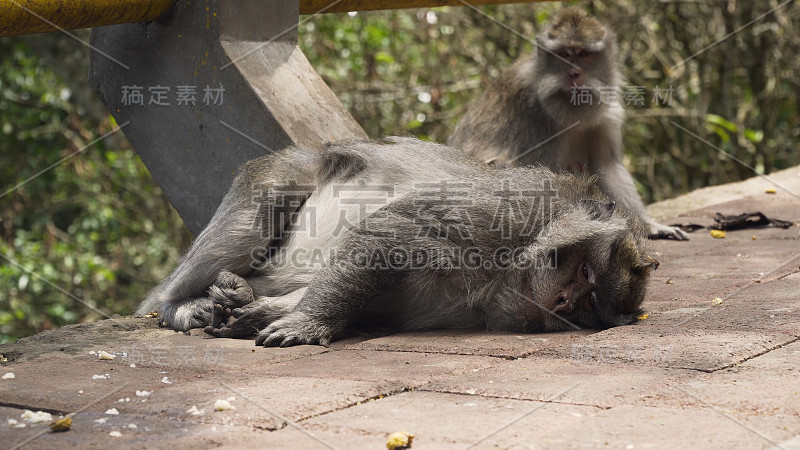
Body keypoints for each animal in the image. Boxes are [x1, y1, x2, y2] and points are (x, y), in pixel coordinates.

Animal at [141, 135, 660, 346]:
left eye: (590, 305)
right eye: (586, 273)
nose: (566, 300)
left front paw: (267, 313)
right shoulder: (507, 209)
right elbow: (387, 235)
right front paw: (311, 321)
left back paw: (241, 294)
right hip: (284, 171)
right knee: (263, 203)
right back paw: (177, 305)